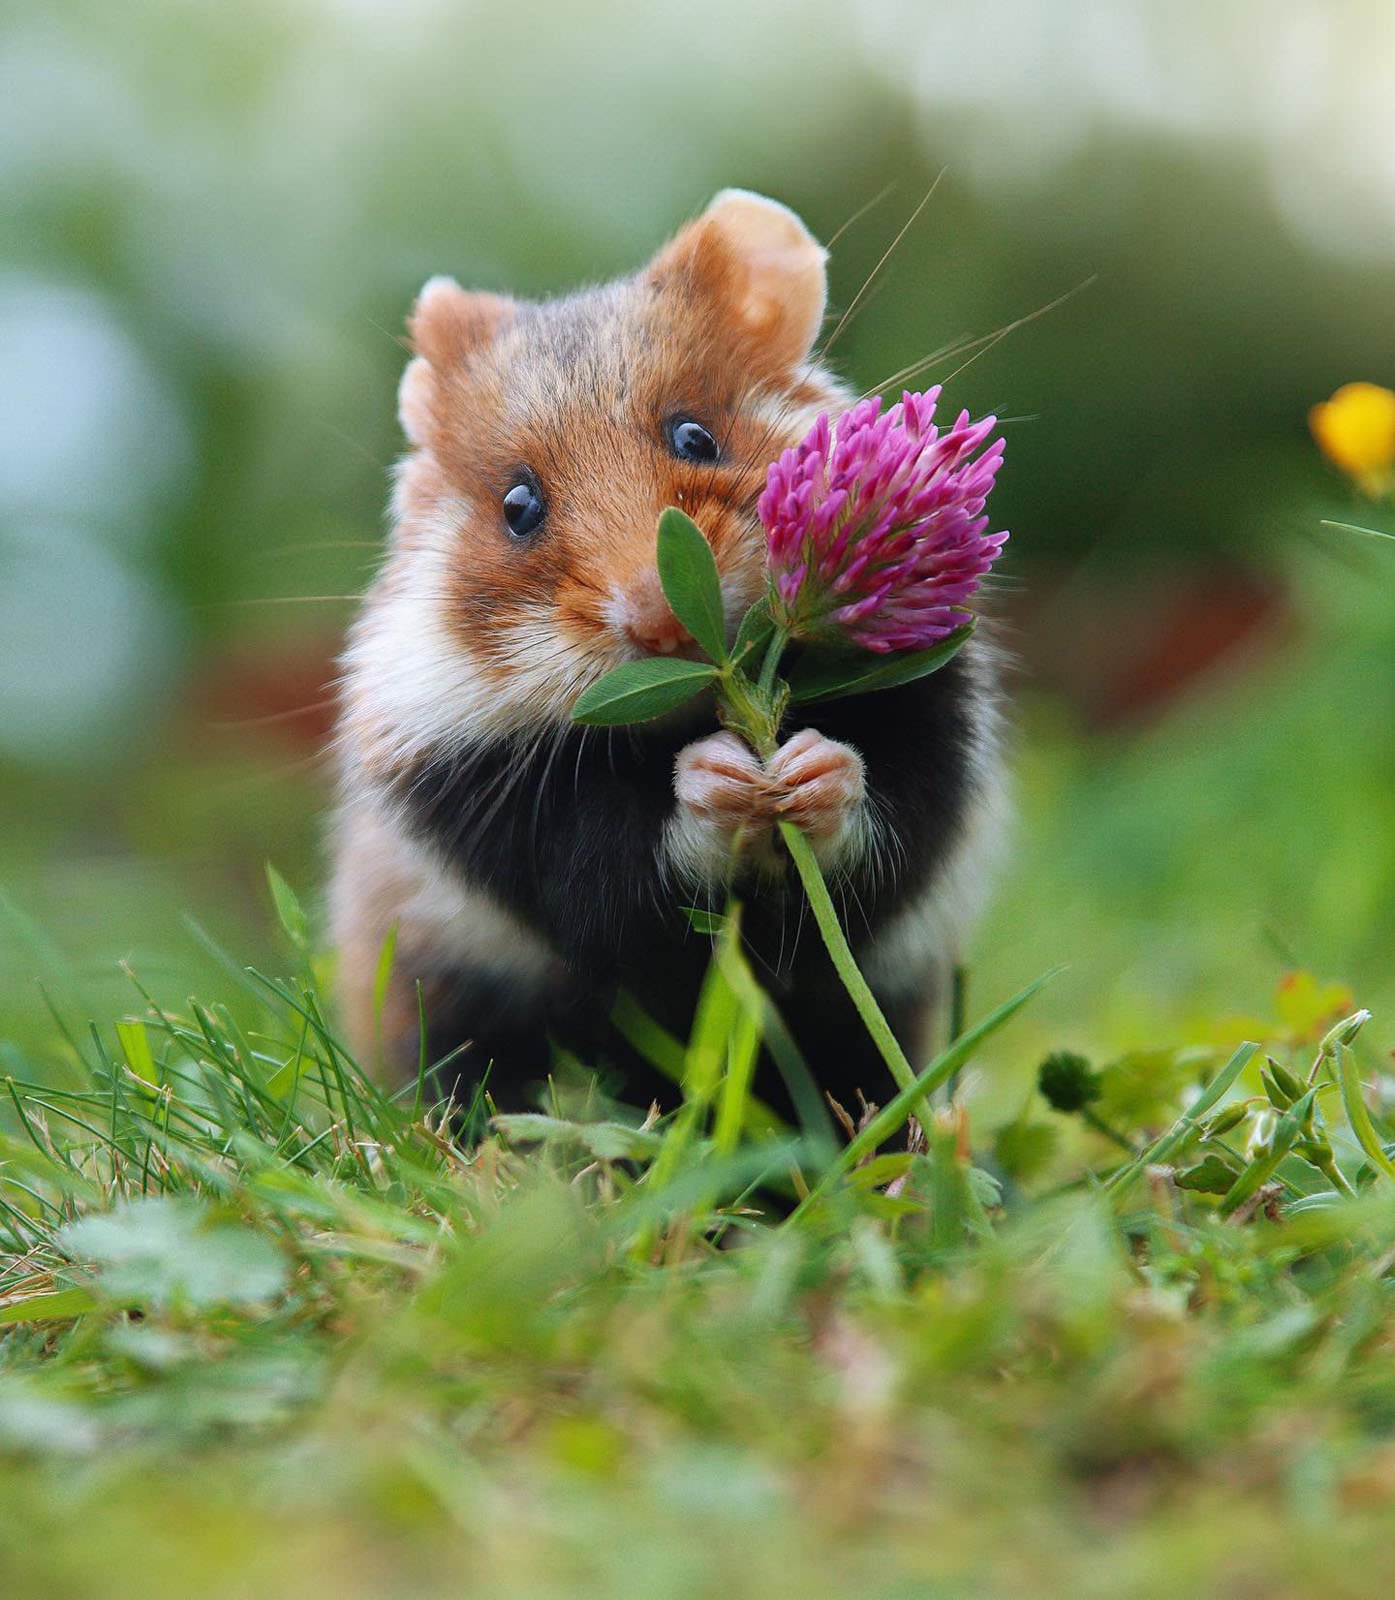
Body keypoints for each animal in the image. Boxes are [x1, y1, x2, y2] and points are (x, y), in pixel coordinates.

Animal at [329, 189, 1005, 1121]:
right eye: (516, 506)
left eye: (694, 437)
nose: (659, 623)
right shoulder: (488, 804)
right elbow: (616, 865)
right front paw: (718, 778)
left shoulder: (938, 727)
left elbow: (885, 810)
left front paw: (805, 770)